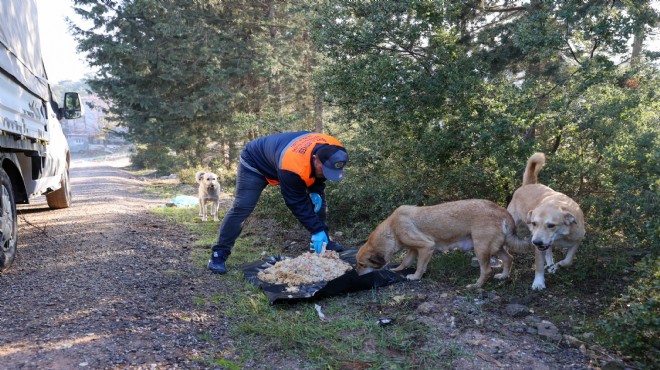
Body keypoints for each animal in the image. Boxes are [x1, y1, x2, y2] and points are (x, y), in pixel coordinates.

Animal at [354, 199, 528, 290]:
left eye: (362, 264)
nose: (356, 275)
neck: (392, 229)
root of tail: (502, 211)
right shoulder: (413, 250)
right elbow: (405, 262)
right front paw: (396, 270)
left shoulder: (426, 246)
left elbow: (419, 266)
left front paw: (415, 277)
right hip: (496, 248)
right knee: (509, 258)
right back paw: (503, 276)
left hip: (481, 249)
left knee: (486, 270)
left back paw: (476, 285)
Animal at [508, 152, 584, 290]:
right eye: (534, 223)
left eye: (551, 225)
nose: (536, 242)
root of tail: (529, 184)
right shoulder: (539, 248)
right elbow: (538, 267)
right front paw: (538, 283)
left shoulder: (577, 240)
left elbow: (568, 260)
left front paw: (559, 265)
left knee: (548, 251)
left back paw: (551, 265)